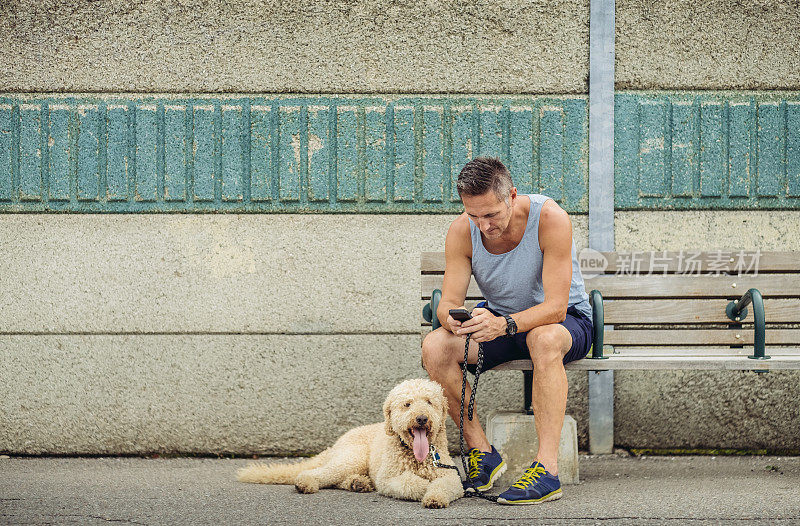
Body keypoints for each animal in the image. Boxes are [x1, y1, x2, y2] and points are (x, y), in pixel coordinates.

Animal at [236, 382, 462, 510]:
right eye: (407, 404)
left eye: (429, 402)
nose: (422, 418)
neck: (417, 456)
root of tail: (336, 444)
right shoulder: (388, 478)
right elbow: (410, 482)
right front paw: (424, 487)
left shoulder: (450, 476)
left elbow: (443, 485)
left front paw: (434, 496)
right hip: (352, 457)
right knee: (321, 474)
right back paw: (306, 483)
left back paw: (358, 483)